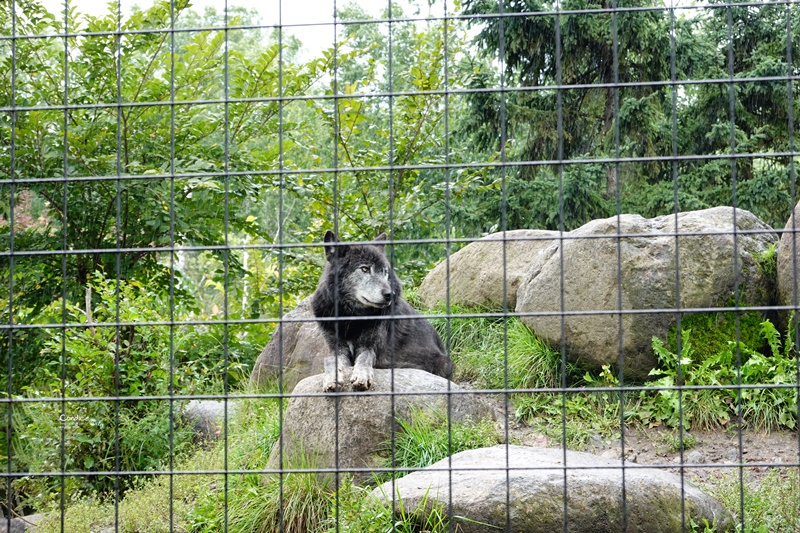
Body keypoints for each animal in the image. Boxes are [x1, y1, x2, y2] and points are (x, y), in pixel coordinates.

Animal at [310, 230, 454, 390]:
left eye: (385, 272)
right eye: (365, 269)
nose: (389, 294)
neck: (351, 318)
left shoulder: (371, 349)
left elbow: (365, 357)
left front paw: (362, 376)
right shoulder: (337, 348)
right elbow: (329, 361)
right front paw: (331, 378)